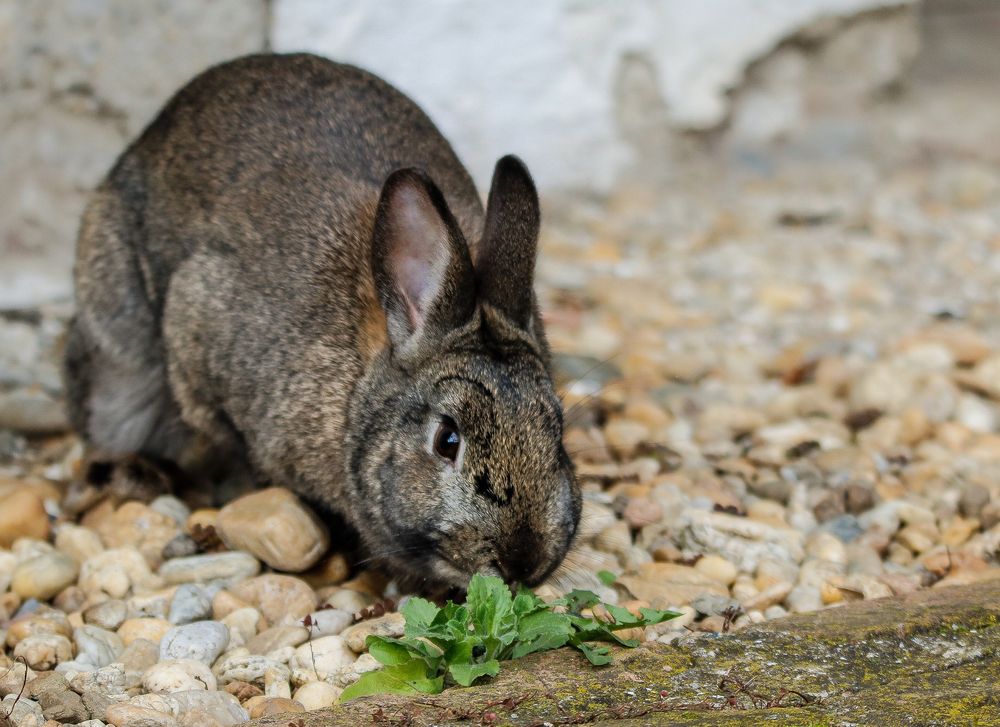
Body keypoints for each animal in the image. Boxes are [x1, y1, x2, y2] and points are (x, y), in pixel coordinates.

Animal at [64, 52, 580, 592]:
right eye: (447, 440)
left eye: (558, 434)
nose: (523, 562)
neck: (358, 387)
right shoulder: (199, 333)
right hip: (120, 351)